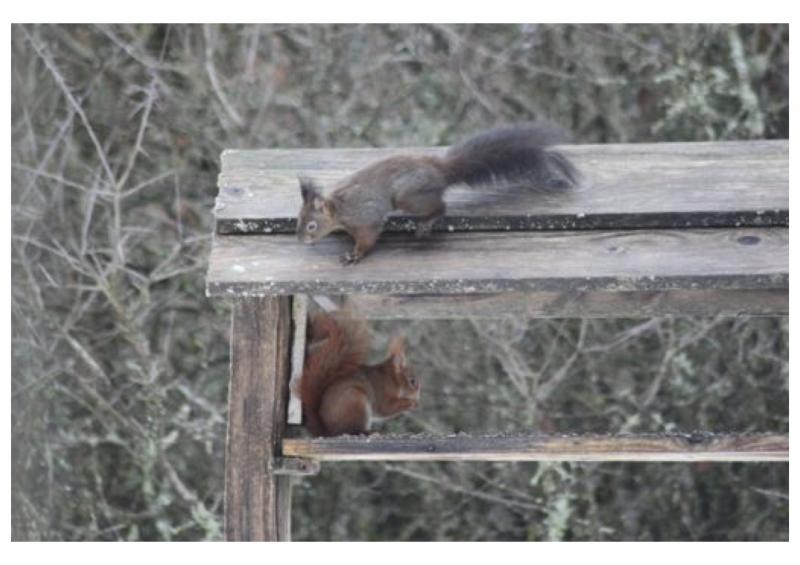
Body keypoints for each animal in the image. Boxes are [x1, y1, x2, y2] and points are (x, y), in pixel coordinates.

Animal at [296, 122, 580, 264]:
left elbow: (368, 238)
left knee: (440, 206)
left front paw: (355, 255)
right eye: (298, 221)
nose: (302, 241)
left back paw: (426, 222)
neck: (339, 208)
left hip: (408, 195)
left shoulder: (365, 217)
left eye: (311, 226)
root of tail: (441, 169)